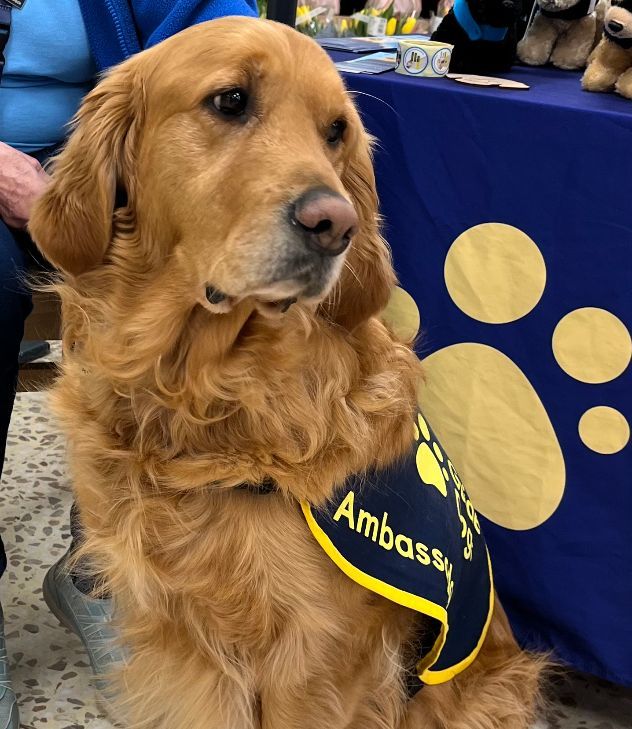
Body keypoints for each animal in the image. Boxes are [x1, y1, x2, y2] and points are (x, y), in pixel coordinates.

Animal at [28, 17, 544, 728]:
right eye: (231, 100)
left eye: (336, 132)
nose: (336, 225)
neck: (205, 399)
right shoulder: (185, 642)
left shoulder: (318, 661)